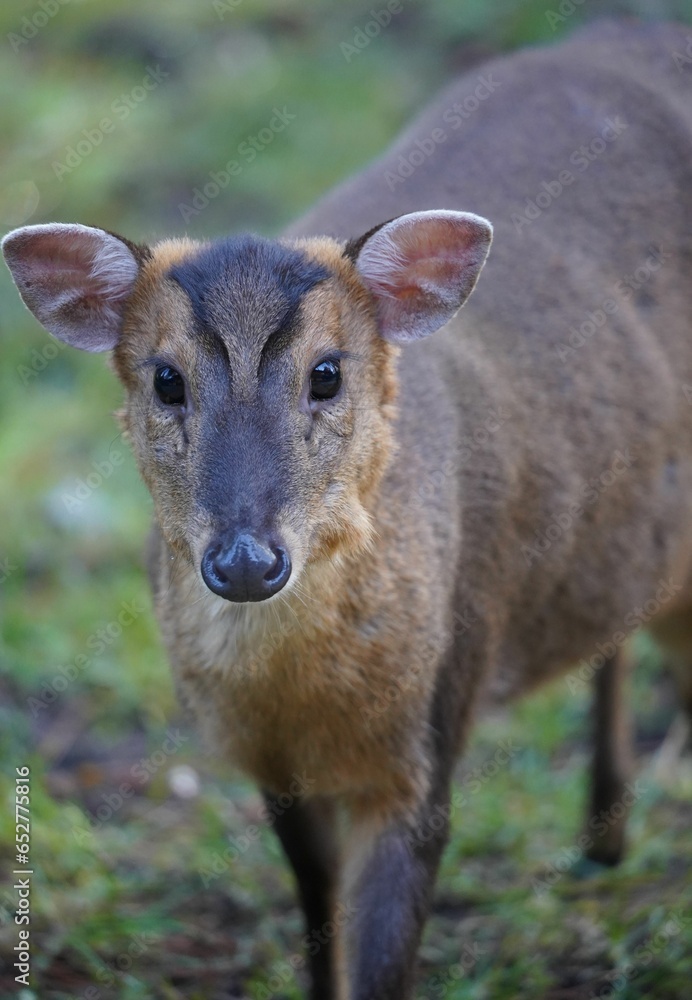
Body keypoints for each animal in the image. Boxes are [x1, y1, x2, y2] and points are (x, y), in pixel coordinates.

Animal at [4, 17, 692, 1000]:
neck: (306, 702)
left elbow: (381, 958)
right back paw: (603, 840)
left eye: (327, 373)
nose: (246, 560)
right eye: (166, 379)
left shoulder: (434, 726)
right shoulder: (273, 767)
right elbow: (317, 923)